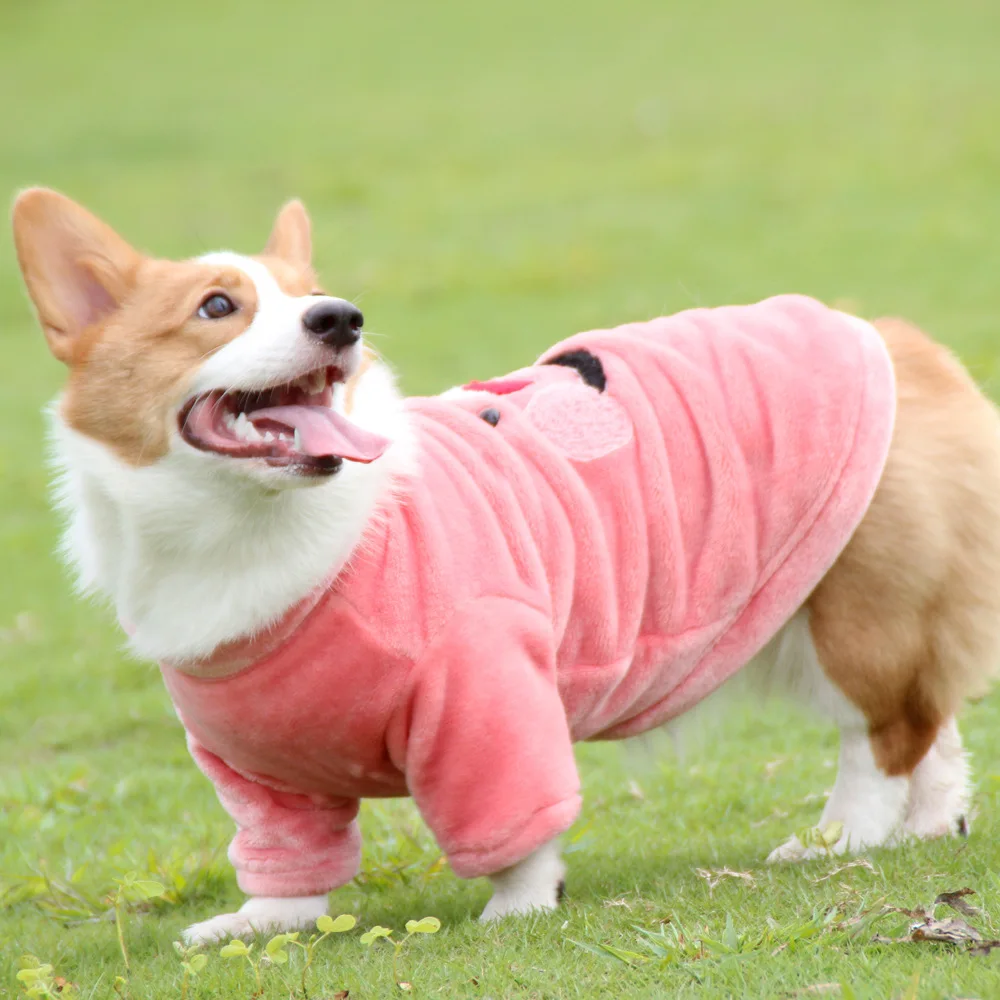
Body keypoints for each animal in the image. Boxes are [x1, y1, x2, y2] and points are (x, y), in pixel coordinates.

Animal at [11, 189, 1000, 944]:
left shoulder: (484, 698)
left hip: (852, 616)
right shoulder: (256, 768)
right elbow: (285, 865)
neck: (242, 533)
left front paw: (519, 908)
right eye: (217, 307)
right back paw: (928, 826)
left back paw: (842, 840)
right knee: (930, 725)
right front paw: (258, 924)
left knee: (881, 736)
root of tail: (897, 339)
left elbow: (515, 828)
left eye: (313, 296)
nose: (342, 319)